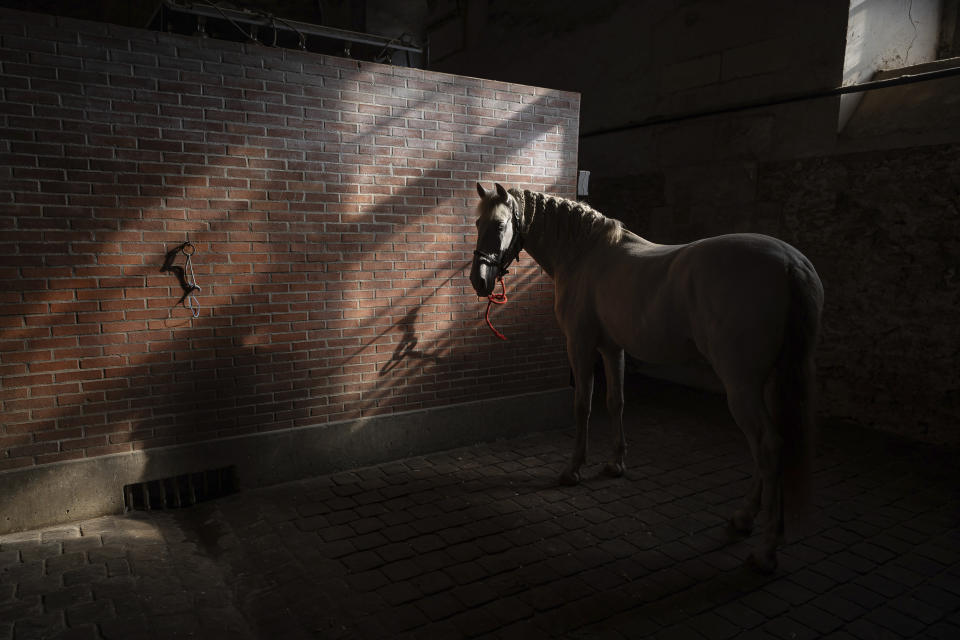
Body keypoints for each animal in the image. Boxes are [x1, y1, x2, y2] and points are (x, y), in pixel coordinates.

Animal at [470, 182, 824, 572]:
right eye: (477, 223)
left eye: (498, 225)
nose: (479, 281)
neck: (583, 254)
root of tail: (790, 263)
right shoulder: (613, 349)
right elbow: (616, 402)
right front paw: (615, 464)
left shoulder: (580, 345)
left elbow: (583, 405)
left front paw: (573, 470)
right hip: (769, 382)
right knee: (768, 446)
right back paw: (744, 518)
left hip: (741, 385)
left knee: (768, 445)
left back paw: (765, 547)